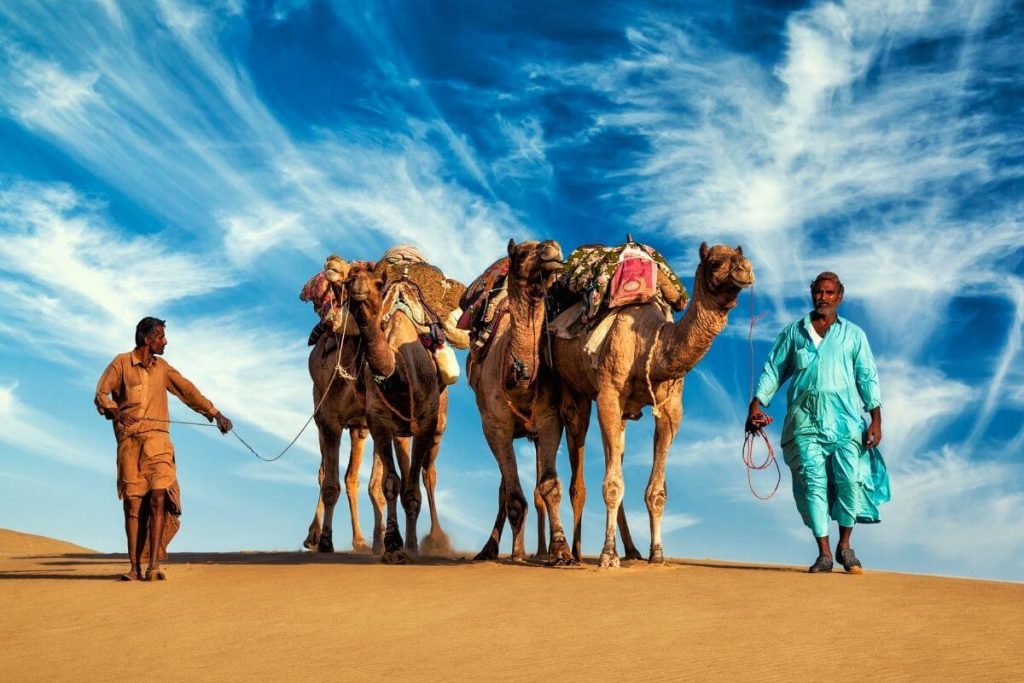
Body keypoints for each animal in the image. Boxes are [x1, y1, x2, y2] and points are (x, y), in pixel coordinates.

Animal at [344, 264, 449, 563]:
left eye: (378, 284)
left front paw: (411, 548)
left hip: (437, 427)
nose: (358, 287)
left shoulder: (425, 423)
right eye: (348, 281)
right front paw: (392, 545)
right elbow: (391, 484)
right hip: (401, 432)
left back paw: (432, 540)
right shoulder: (378, 423)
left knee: (428, 473)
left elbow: (413, 490)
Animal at [466, 239, 574, 565]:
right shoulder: (495, 427)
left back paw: (535, 550)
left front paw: (561, 551)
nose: (553, 248)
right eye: (524, 253)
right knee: (505, 489)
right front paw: (516, 555)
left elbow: (549, 487)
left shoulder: (550, 421)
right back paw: (497, 550)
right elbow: (513, 497)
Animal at [552, 242, 754, 567]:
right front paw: (607, 556)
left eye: (742, 257)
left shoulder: (671, 409)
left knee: (614, 453)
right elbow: (612, 485)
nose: (746, 271)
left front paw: (656, 553)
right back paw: (573, 553)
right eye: (714, 262)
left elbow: (656, 491)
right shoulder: (608, 394)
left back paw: (629, 551)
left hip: (619, 413)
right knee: (577, 452)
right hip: (572, 388)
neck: (650, 343)